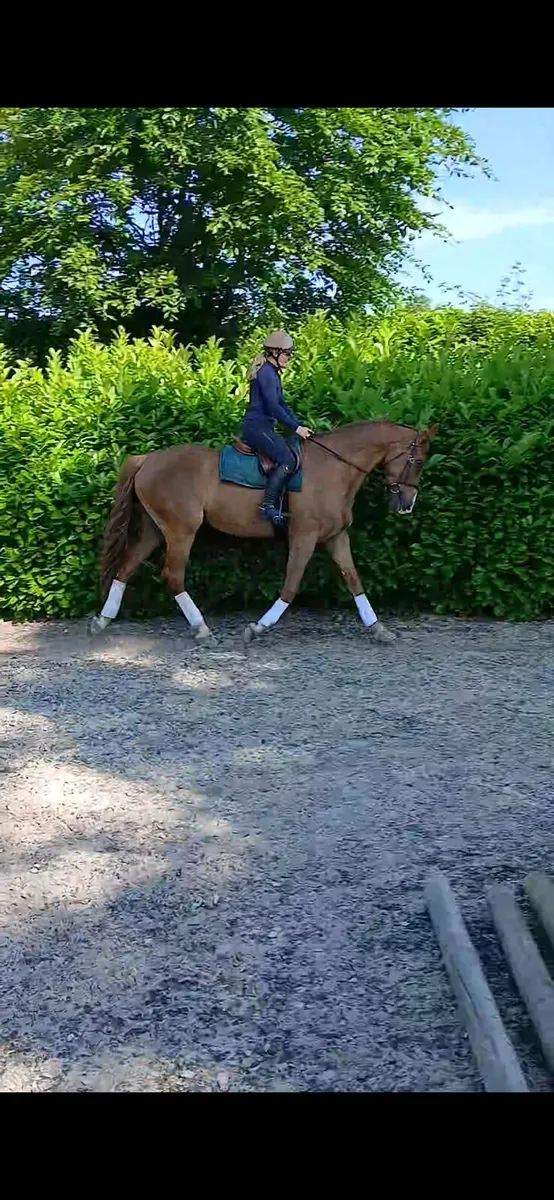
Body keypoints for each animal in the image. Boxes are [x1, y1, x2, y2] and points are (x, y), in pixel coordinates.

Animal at [89, 419, 438, 645]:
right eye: (419, 461)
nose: (406, 505)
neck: (335, 468)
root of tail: (146, 459)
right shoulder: (304, 536)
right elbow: (291, 585)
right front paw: (258, 628)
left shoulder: (336, 536)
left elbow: (354, 580)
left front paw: (378, 628)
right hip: (180, 531)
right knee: (172, 575)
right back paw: (202, 629)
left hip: (154, 530)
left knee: (126, 567)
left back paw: (103, 619)